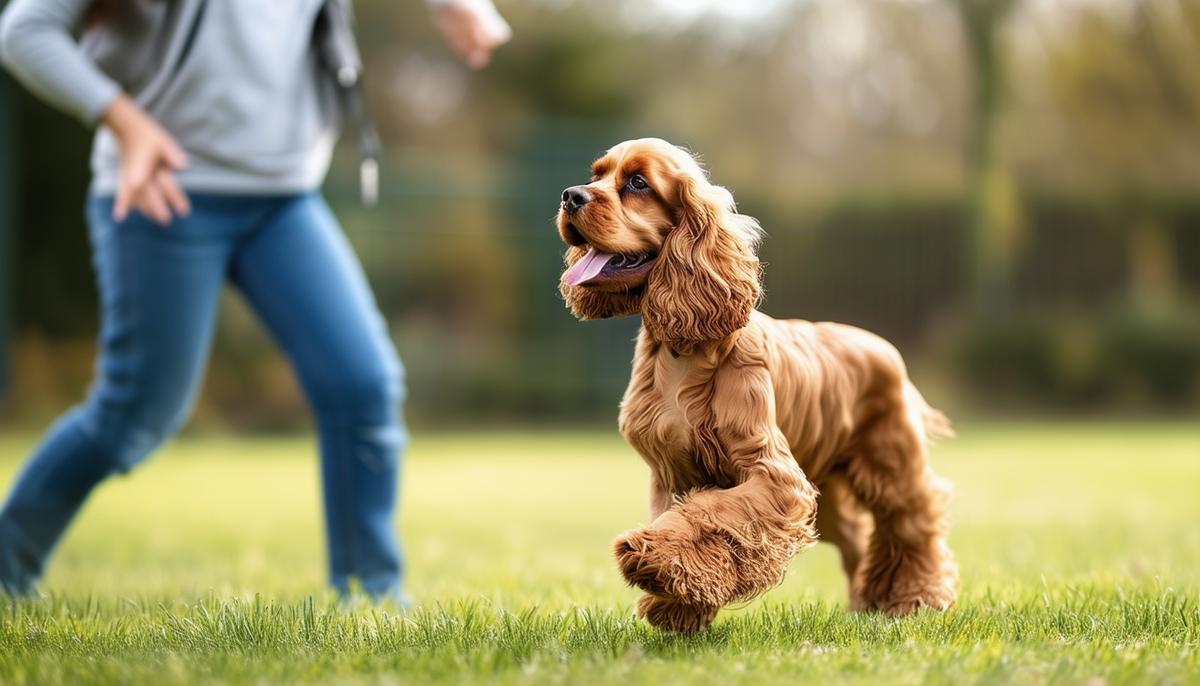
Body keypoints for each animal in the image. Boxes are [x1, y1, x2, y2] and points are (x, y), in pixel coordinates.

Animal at [556, 137, 960, 633]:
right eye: (596, 175)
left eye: (637, 183)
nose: (570, 196)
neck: (682, 353)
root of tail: (884, 346)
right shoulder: (673, 471)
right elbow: (684, 518)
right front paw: (677, 602)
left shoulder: (773, 475)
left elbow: (707, 514)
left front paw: (649, 559)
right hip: (828, 493)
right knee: (859, 539)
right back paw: (866, 603)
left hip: (892, 469)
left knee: (912, 527)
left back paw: (916, 598)